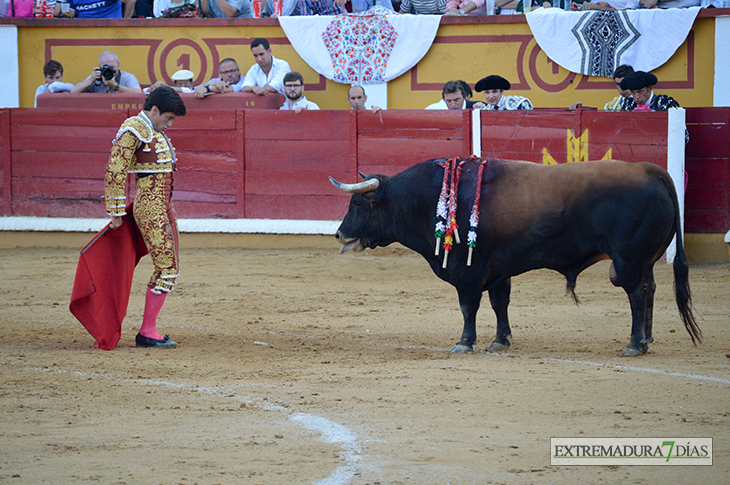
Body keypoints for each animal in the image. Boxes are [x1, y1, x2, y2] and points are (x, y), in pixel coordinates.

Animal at [330, 159, 700, 356]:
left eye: (358, 204)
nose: (340, 234)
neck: (429, 197)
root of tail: (648, 169)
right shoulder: (498, 269)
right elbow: (499, 303)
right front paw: (500, 341)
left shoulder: (467, 272)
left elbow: (468, 307)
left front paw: (464, 343)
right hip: (643, 261)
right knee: (650, 290)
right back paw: (647, 338)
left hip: (626, 261)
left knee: (636, 295)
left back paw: (635, 344)